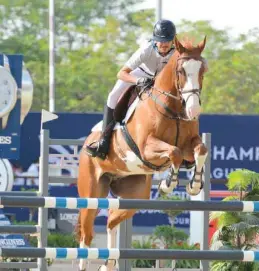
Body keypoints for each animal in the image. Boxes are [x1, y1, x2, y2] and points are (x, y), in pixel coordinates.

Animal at [76, 36, 209, 271]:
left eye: (202, 70)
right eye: (181, 71)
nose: (193, 111)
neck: (173, 108)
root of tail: (86, 144)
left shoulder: (190, 146)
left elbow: (200, 149)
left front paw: (194, 184)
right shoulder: (147, 148)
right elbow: (173, 152)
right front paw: (168, 183)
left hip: (134, 195)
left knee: (111, 218)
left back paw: (109, 263)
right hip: (91, 192)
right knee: (87, 233)